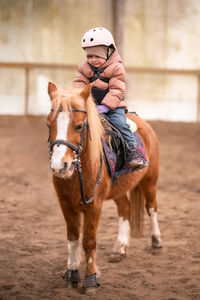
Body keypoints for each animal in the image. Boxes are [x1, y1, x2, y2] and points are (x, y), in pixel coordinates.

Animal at [47, 82, 162, 292]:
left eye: (79, 126)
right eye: (48, 124)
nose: (59, 166)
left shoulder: (94, 205)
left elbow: (89, 241)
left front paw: (91, 279)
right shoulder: (66, 204)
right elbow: (73, 237)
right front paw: (71, 273)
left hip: (150, 181)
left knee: (151, 208)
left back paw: (157, 242)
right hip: (119, 190)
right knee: (126, 209)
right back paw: (120, 248)